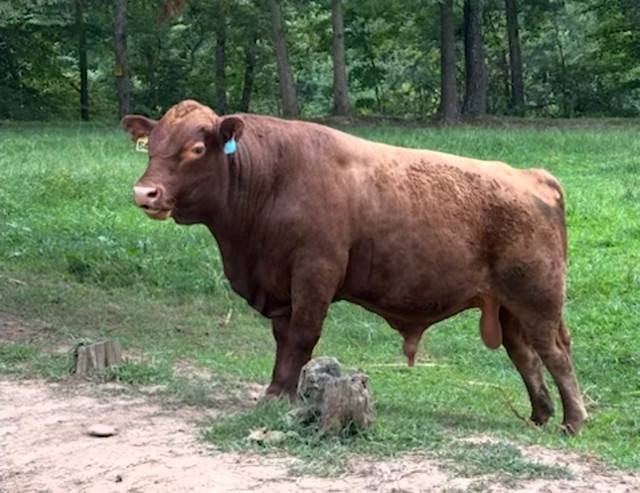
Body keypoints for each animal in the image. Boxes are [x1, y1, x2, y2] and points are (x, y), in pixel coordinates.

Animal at [122, 100, 587, 434]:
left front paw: (280, 396)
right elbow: (284, 340)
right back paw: (540, 415)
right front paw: (280, 391)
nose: (145, 192)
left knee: (556, 354)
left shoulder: (314, 274)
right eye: (152, 144)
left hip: (538, 301)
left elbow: (302, 338)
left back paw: (573, 421)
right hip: (509, 308)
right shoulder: (281, 286)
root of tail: (532, 175)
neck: (272, 178)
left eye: (197, 148)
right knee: (526, 356)